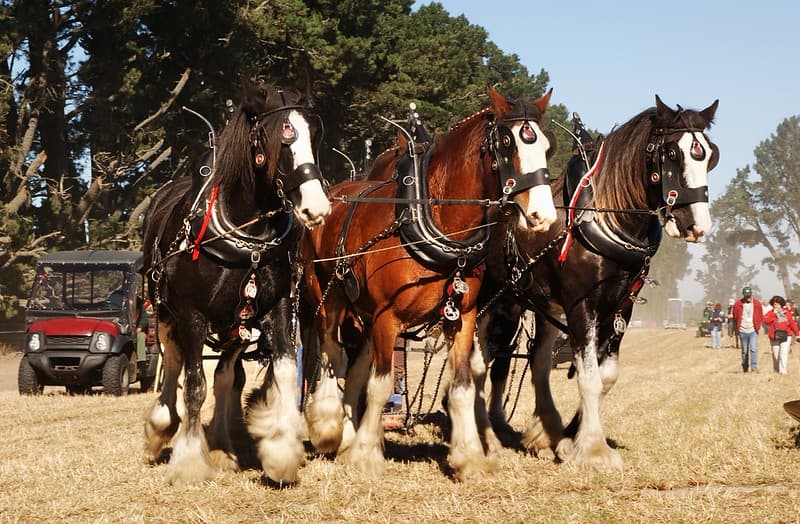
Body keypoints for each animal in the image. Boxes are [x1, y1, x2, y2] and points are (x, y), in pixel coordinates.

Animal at [141, 82, 330, 486]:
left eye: (314, 134)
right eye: (281, 140)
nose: (317, 208)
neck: (248, 232)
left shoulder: (276, 308)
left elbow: (285, 370)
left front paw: (281, 452)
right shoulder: (191, 315)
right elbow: (194, 384)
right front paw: (188, 462)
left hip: (236, 325)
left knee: (226, 376)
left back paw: (220, 444)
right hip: (164, 312)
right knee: (176, 363)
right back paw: (162, 426)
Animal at [300, 86, 557, 480]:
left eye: (546, 146)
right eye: (506, 143)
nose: (544, 215)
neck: (429, 216)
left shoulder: (462, 317)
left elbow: (463, 386)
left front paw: (469, 458)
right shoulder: (388, 317)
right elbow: (380, 385)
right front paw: (367, 455)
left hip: (364, 315)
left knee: (355, 368)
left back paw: (348, 435)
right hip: (327, 299)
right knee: (331, 354)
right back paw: (330, 429)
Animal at [481, 96, 719, 469]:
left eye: (709, 155)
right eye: (671, 153)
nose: (697, 224)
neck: (607, 217)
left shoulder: (621, 308)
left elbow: (605, 377)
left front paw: (569, 439)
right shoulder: (582, 305)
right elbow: (589, 377)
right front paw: (593, 450)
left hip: (538, 304)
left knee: (535, 361)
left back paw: (544, 432)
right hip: (495, 299)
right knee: (488, 356)